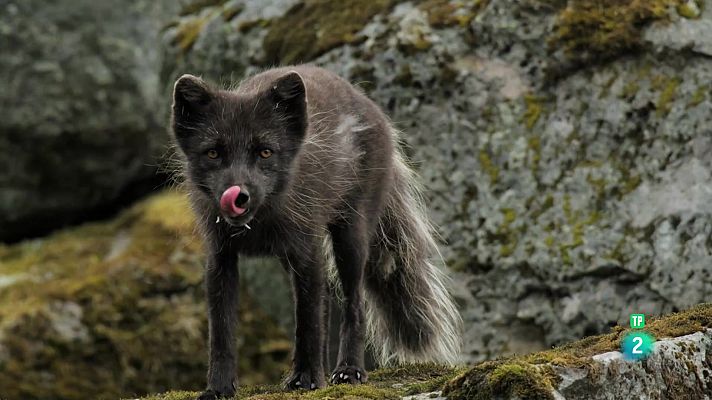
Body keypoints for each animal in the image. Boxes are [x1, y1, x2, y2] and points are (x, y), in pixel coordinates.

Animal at [171, 64, 462, 398]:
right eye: (213, 153)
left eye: (265, 152)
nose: (239, 196)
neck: (260, 224)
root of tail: (368, 103)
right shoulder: (220, 258)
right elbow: (221, 332)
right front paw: (219, 388)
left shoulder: (306, 250)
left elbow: (308, 322)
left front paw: (307, 378)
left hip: (350, 238)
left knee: (352, 304)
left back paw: (348, 370)